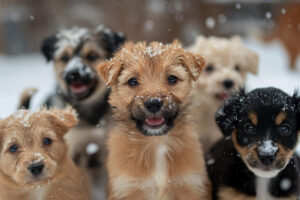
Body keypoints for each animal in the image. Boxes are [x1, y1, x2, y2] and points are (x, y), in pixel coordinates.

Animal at [98, 39, 211, 199]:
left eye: (172, 78)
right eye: (132, 81)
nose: (153, 103)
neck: (157, 143)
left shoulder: (191, 185)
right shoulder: (127, 188)